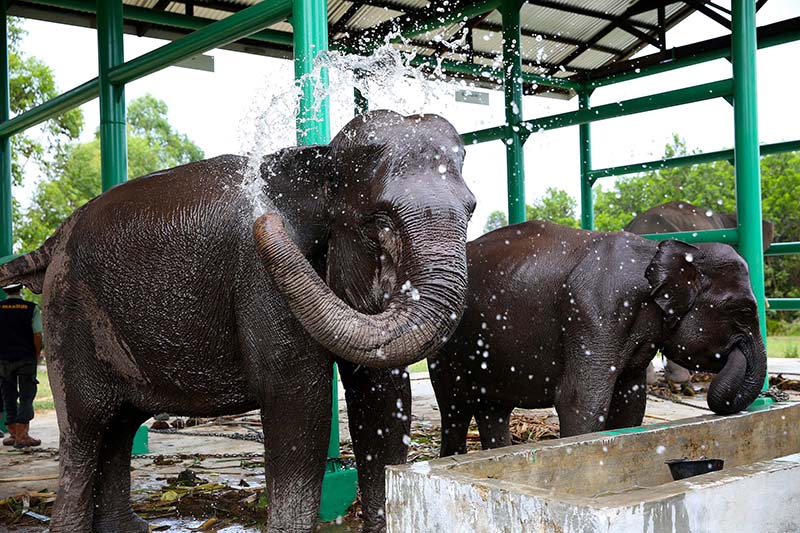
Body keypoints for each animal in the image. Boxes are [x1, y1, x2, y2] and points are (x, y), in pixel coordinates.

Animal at [0, 110, 476, 532]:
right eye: (381, 220)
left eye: (471, 210)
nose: (264, 222)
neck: (318, 161)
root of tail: (56, 236)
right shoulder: (260, 280)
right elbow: (299, 398)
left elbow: (381, 395)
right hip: (68, 310)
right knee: (87, 424)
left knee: (120, 424)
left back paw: (127, 528)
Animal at [429, 220, 766, 456]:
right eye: (743, 310)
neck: (656, 252)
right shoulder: (596, 311)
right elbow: (580, 402)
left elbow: (631, 405)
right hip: (446, 345)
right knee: (455, 407)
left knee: (493, 409)